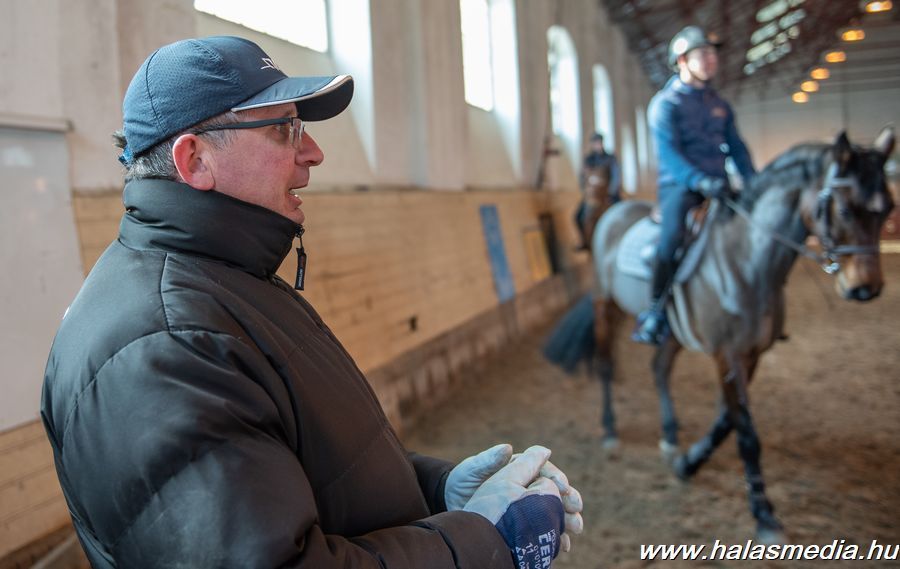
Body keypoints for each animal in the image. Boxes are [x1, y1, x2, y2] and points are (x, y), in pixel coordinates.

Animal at [544, 127, 895, 541]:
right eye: (843, 210)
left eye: (887, 209)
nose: (866, 289)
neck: (745, 259)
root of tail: (611, 214)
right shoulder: (727, 354)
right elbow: (746, 432)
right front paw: (763, 513)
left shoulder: (752, 355)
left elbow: (728, 420)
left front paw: (688, 463)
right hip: (605, 305)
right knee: (605, 363)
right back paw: (611, 429)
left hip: (673, 333)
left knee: (659, 368)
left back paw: (669, 435)